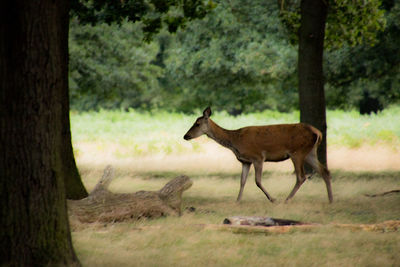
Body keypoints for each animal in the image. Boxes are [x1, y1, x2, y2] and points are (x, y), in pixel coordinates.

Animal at [183, 107, 332, 203]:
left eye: (197, 123)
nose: (186, 136)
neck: (235, 141)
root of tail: (318, 132)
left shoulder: (258, 157)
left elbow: (257, 181)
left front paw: (272, 199)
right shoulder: (245, 161)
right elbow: (242, 181)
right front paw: (237, 200)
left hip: (297, 152)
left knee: (301, 176)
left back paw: (287, 199)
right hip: (310, 153)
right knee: (325, 171)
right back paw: (330, 199)